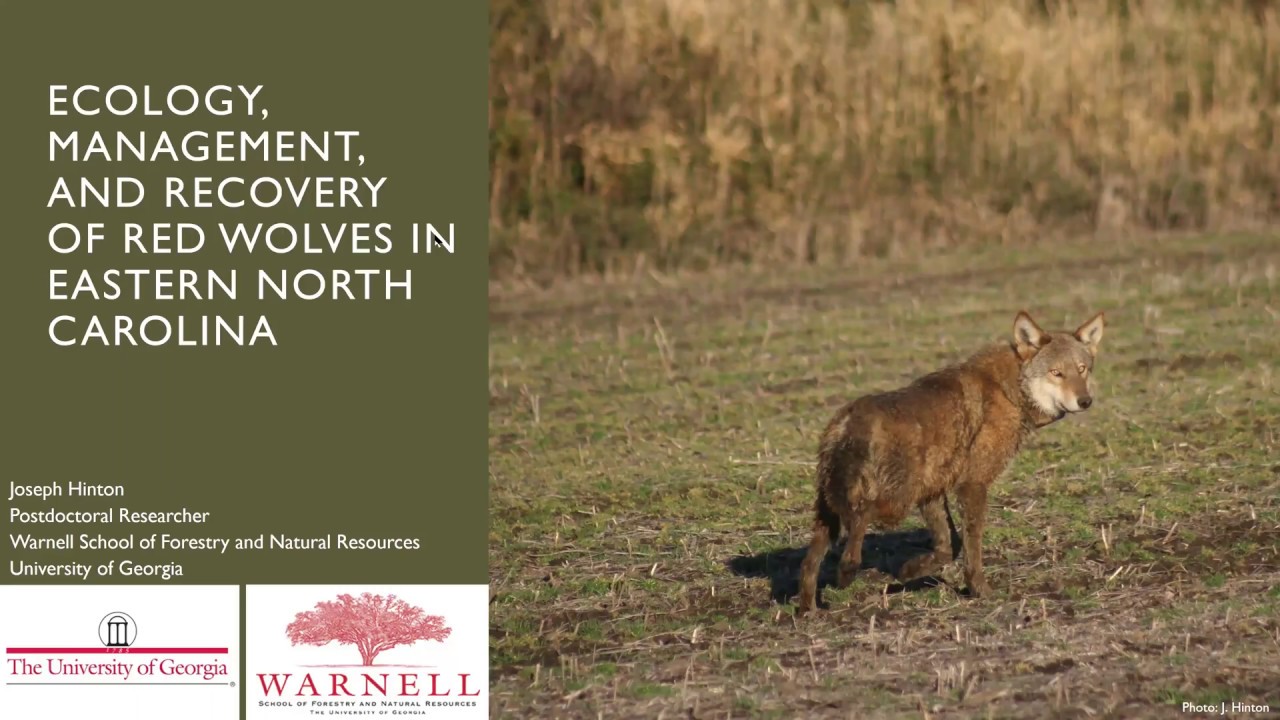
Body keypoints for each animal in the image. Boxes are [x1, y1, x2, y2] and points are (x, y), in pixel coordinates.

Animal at [796, 310, 1105, 614]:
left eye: (1082, 369)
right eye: (1056, 373)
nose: (1085, 401)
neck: (1008, 390)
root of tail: (846, 422)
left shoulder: (933, 491)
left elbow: (949, 547)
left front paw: (910, 571)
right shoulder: (973, 484)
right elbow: (971, 547)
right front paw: (980, 590)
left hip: (831, 513)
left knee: (809, 563)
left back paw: (808, 612)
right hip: (892, 504)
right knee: (858, 524)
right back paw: (846, 573)